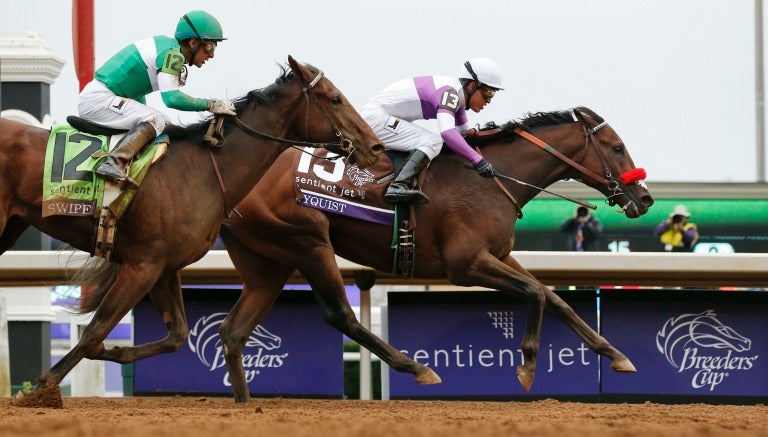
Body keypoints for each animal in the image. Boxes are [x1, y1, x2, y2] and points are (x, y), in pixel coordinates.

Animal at [2, 56, 380, 408]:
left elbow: (176, 335)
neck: (203, 172)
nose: (374, 147)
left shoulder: (163, 267)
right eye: (334, 99)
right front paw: (38, 390)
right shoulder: (142, 265)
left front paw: (113, 355)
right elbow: (95, 331)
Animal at [220, 106, 656, 402]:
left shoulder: (499, 255)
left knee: (233, 331)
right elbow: (535, 294)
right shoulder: (466, 264)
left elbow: (553, 298)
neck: (491, 178)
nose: (645, 198)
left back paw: (244, 403)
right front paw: (528, 367)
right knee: (339, 315)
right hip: (307, 241)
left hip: (267, 262)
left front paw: (616, 354)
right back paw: (417, 367)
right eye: (617, 147)